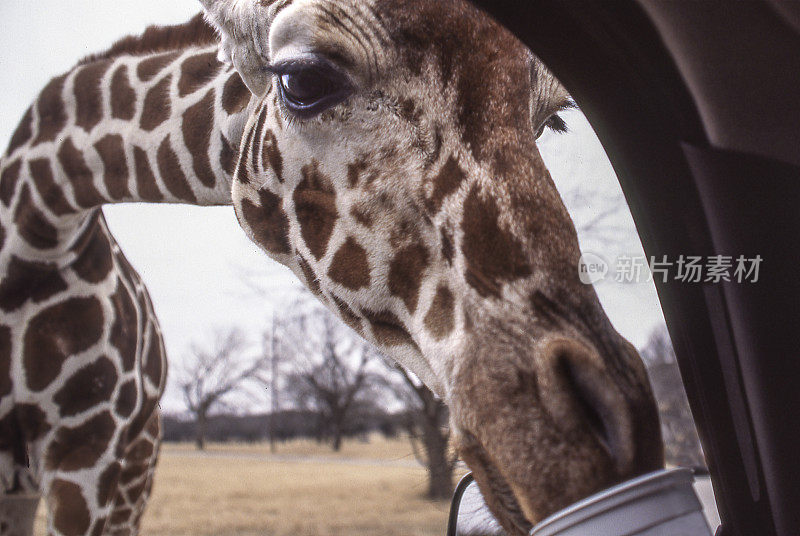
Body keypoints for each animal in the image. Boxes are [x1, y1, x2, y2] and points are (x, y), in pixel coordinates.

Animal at [0, 1, 664, 536]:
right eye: (304, 78)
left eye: (551, 119)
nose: (601, 447)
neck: (33, 230)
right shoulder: (80, 465)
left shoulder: (92, 453)